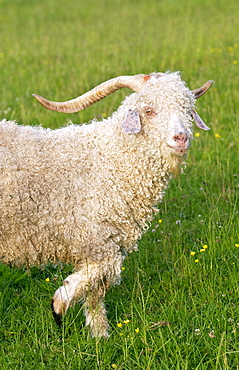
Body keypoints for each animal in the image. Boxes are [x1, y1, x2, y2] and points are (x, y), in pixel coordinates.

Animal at [0, 71, 213, 338]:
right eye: (149, 110)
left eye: (187, 110)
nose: (181, 138)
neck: (108, 159)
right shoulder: (94, 237)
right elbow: (103, 271)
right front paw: (59, 304)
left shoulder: (102, 240)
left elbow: (96, 289)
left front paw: (100, 334)